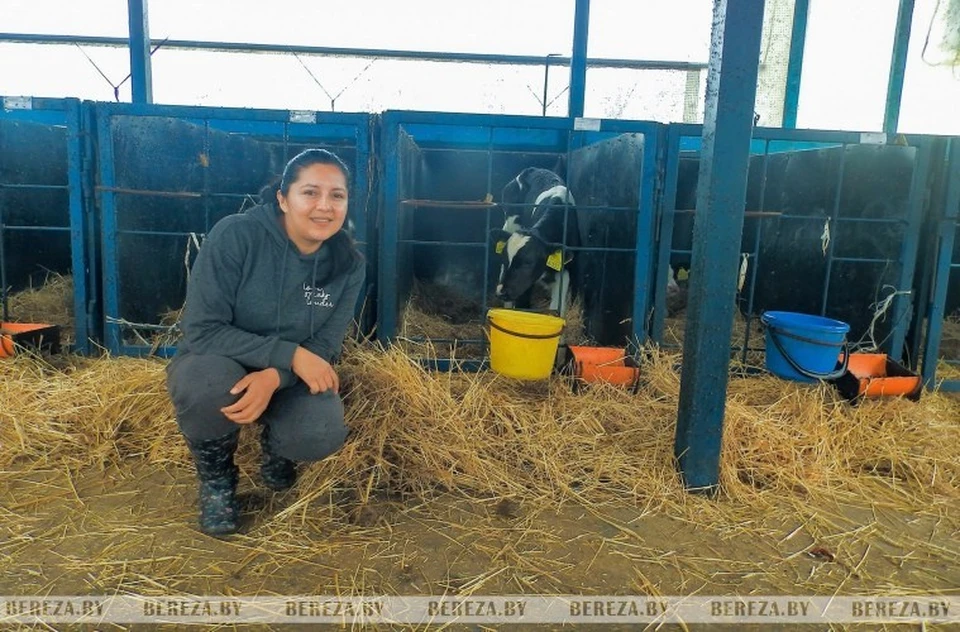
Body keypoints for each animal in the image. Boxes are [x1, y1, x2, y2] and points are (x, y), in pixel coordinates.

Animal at [492, 168, 580, 314]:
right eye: (504, 257)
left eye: (528, 262)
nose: (501, 292)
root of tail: (532, 169)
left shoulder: (566, 269)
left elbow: (557, 308)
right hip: (509, 223)